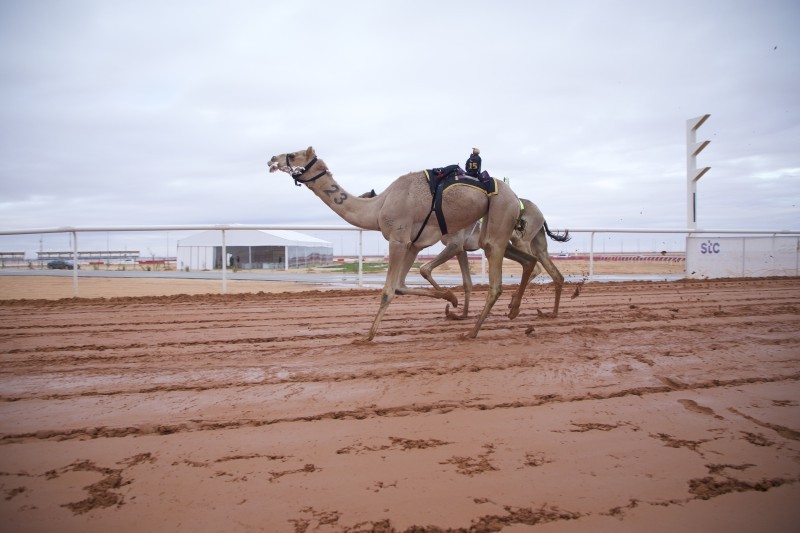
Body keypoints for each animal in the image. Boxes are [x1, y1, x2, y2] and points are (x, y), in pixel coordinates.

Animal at [268, 145, 536, 338]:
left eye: (292, 154)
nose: (271, 159)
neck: (377, 207)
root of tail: (516, 197)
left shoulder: (397, 240)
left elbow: (389, 290)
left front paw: (367, 336)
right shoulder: (413, 244)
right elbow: (401, 285)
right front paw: (451, 298)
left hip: (500, 215)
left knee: (497, 283)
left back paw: (472, 332)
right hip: (493, 228)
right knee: (529, 261)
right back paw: (513, 311)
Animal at [416, 198, 572, 316]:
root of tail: (541, 215)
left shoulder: (454, 245)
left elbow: (424, 269)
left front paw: (452, 299)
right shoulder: (461, 250)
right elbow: (467, 282)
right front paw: (463, 314)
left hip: (520, 239)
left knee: (535, 267)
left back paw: (514, 303)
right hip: (538, 244)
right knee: (556, 274)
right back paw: (552, 313)